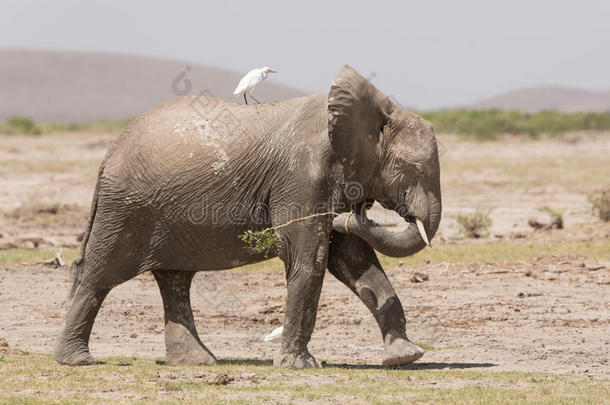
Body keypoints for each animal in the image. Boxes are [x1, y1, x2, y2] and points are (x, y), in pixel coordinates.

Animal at [52, 64, 440, 368]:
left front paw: (405, 356)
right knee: (101, 274)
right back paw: (76, 361)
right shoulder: (301, 177)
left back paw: (197, 362)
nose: (353, 212)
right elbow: (308, 258)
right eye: (413, 168)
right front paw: (300, 366)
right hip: (124, 208)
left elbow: (354, 260)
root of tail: (108, 154)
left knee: (175, 279)